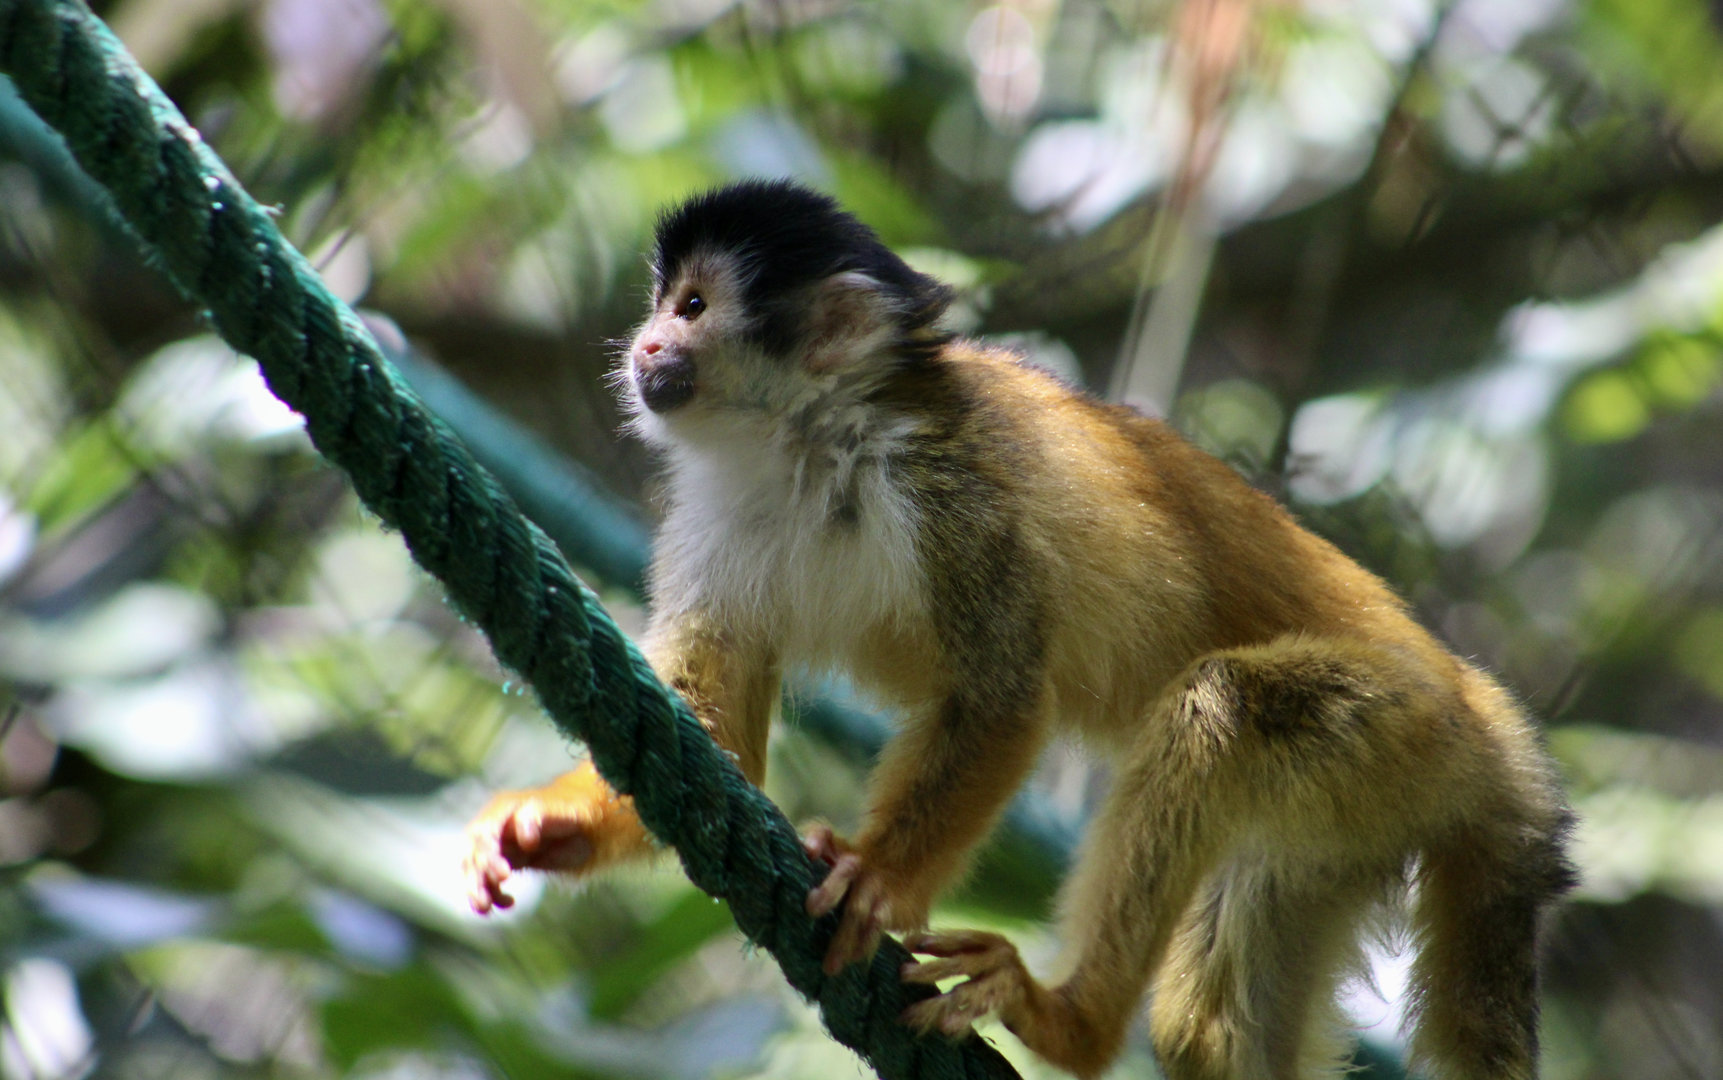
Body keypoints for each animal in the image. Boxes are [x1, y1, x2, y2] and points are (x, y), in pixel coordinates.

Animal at [462, 179, 1574, 1080]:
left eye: (691, 307)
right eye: (663, 305)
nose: (643, 346)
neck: (809, 440)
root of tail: (1488, 721)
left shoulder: (952, 486)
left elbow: (1002, 695)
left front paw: (879, 879)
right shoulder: (713, 509)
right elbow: (713, 730)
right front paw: (550, 826)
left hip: (1396, 730)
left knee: (1219, 706)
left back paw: (1071, 1023)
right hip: (1367, 811)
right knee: (1217, 1001)